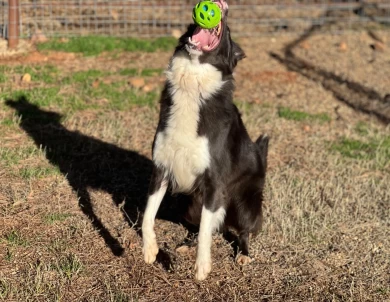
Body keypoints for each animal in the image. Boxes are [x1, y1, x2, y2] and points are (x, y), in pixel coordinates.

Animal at [142, 0, 268, 280]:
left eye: (228, 33)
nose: (221, 3)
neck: (193, 83)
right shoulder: (160, 169)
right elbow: (148, 215)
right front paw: (150, 250)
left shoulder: (213, 182)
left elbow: (205, 235)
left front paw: (202, 267)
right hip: (190, 205)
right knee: (202, 227)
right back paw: (187, 244)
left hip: (245, 203)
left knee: (241, 230)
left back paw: (244, 254)